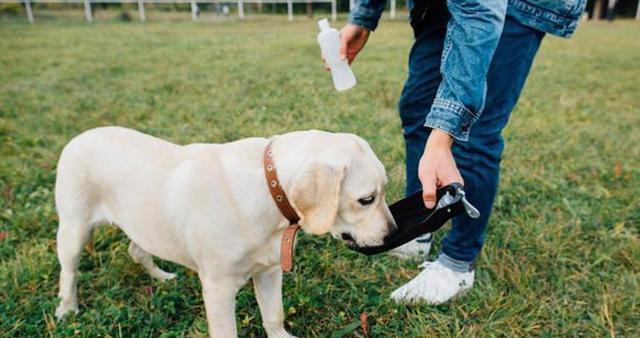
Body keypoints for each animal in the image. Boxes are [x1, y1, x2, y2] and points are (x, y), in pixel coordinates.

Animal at [53, 127, 396, 338]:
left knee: (136, 250)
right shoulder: (218, 288)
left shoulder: (269, 272)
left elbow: (275, 315)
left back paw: (161, 277)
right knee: (68, 273)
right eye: (366, 199)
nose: (394, 234)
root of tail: (81, 136)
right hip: (73, 231)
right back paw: (67, 309)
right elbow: (227, 332)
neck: (268, 190)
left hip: (142, 223)